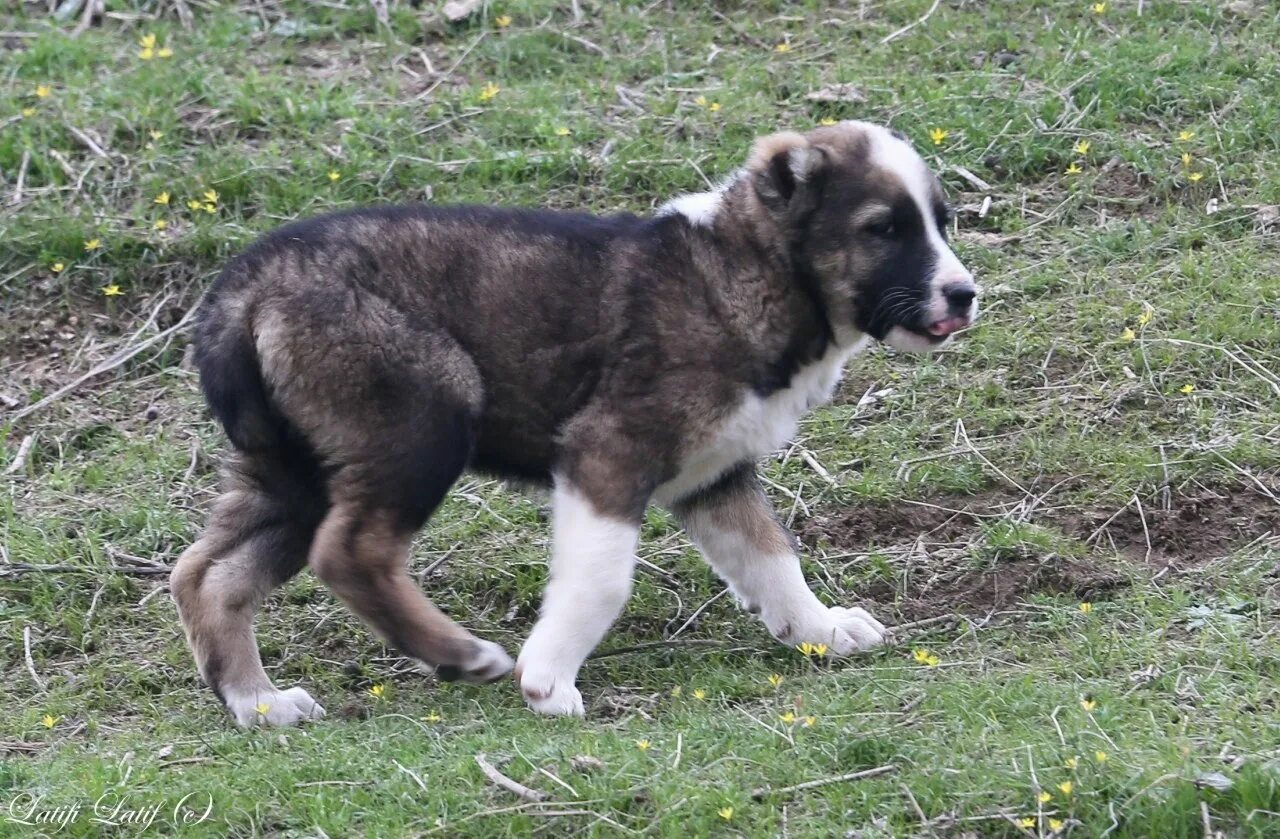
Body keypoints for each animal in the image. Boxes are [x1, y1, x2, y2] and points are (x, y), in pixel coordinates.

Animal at [170, 121, 977, 727]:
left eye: (941, 223)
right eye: (883, 229)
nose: (965, 294)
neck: (749, 273)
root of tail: (244, 286)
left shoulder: (715, 474)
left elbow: (772, 558)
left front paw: (820, 630)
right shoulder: (608, 450)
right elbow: (602, 578)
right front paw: (549, 677)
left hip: (294, 469)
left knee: (206, 573)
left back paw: (259, 703)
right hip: (422, 418)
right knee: (349, 552)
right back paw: (459, 656)